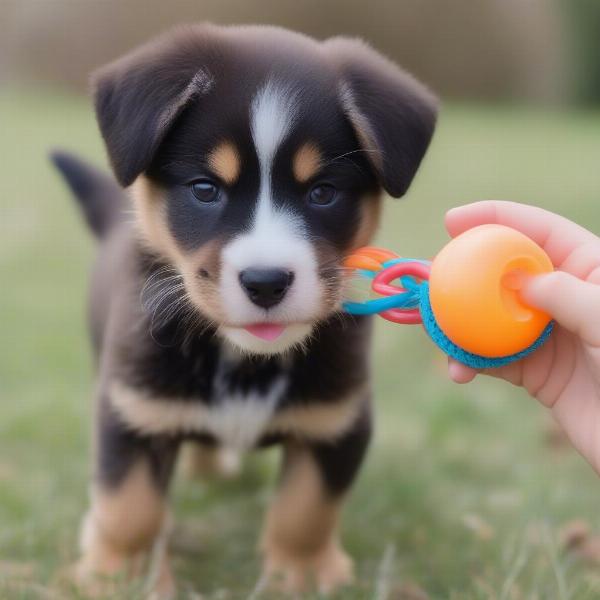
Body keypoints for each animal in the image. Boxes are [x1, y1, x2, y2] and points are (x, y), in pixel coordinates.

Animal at [51, 22, 436, 596]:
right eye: (205, 189)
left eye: (323, 192)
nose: (266, 282)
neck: (245, 362)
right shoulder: (133, 407)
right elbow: (131, 507)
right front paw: (121, 576)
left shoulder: (336, 419)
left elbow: (307, 509)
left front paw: (302, 574)